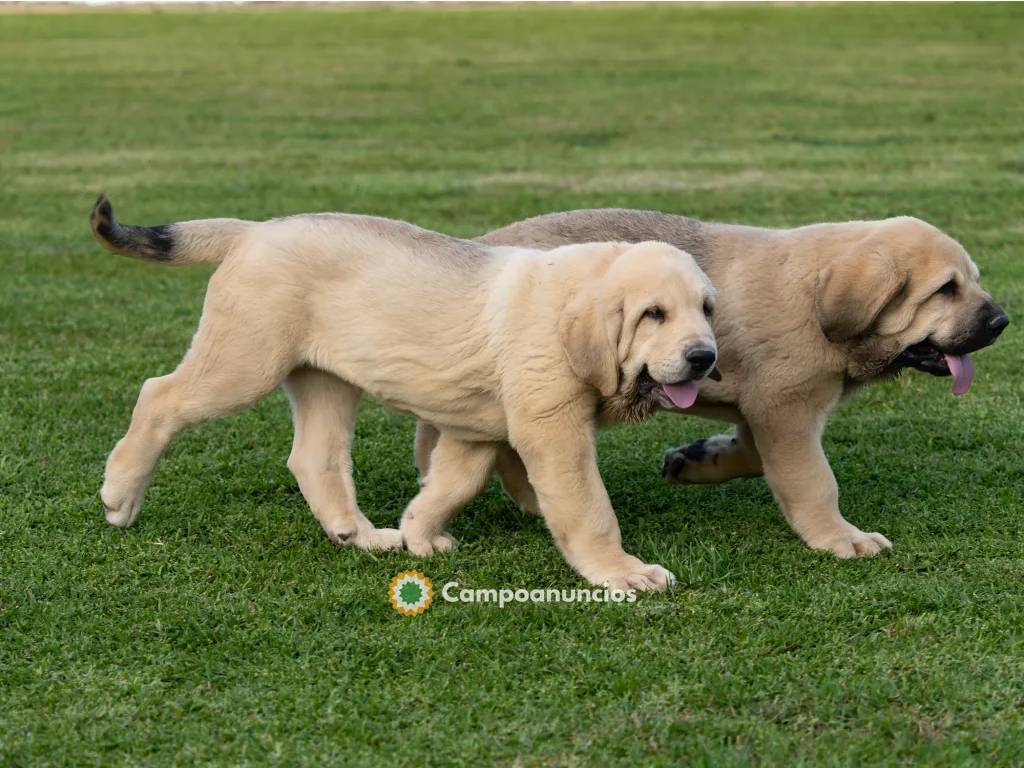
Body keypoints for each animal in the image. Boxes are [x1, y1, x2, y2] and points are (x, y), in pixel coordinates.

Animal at [92, 196, 716, 589]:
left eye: (707, 309)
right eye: (653, 314)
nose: (705, 357)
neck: (570, 310)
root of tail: (253, 230)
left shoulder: (475, 431)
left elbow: (454, 483)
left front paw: (420, 533)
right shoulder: (554, 431)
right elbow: (588, 509)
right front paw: (622, 572)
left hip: (327, 382)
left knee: (314, 458)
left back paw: (359, 535)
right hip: (244, 361)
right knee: (159, 396)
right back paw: (120, 495)